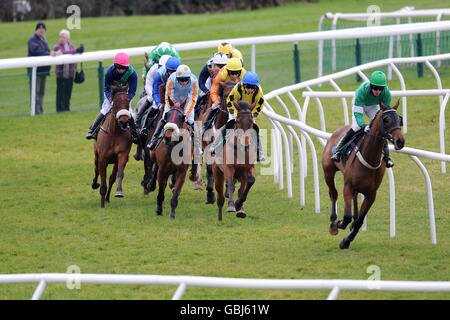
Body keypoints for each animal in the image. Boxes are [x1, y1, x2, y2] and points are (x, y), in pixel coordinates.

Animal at [324, 100, 404, 250]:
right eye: (386, 119)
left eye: (400, 119)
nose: (400, 141)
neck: (369, 157)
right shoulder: (347, 187)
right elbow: (346, 216)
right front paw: (340, 224)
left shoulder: (371, 194)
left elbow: (360, 221)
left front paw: (347, 240)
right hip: (328, 172)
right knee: (333, 194)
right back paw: (333, 223)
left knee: (354, 199)